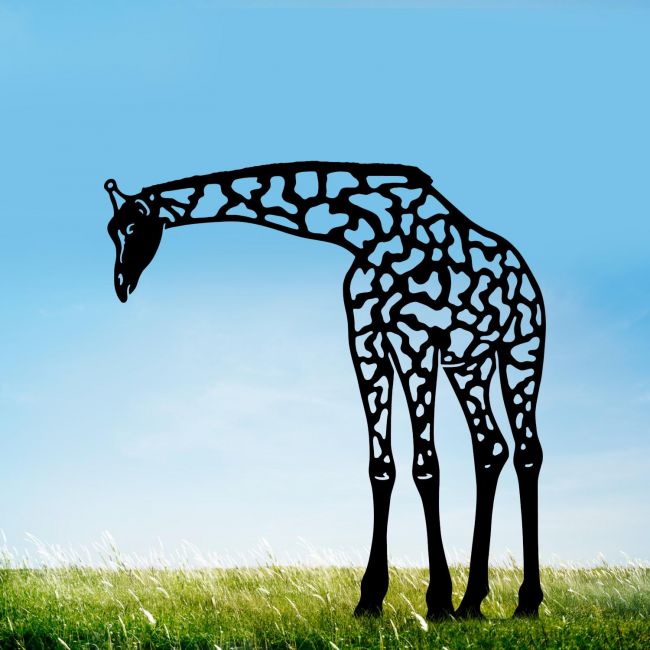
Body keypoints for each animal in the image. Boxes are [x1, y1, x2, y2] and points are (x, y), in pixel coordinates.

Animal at [105, 162, 545, 619]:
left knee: (526, 450)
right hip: (468, 361)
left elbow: (426, 465)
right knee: (490, 447)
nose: (121, 284)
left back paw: (525, 602)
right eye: (111, 230)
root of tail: (525, 273)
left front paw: (437, 602)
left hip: (521, 346)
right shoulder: (366, 337)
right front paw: (371, 598)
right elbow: (381, 466)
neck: (368, 229)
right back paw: (473, 602)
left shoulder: (415, 338)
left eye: (133, 226)